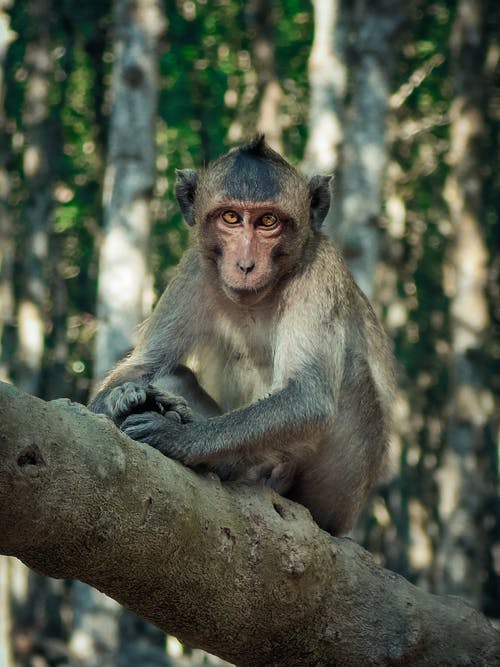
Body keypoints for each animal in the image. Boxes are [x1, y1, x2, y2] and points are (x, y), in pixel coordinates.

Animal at [89, 136, 394, 536]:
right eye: (231, 217)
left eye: (268, 221)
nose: (246, 265)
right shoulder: (195, 268)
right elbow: (146, 364)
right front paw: (121, 399)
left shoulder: (319, 270)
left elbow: (308, 395)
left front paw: (178, 437)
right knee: (170, 373)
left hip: (338, 495)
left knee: (352, 370)